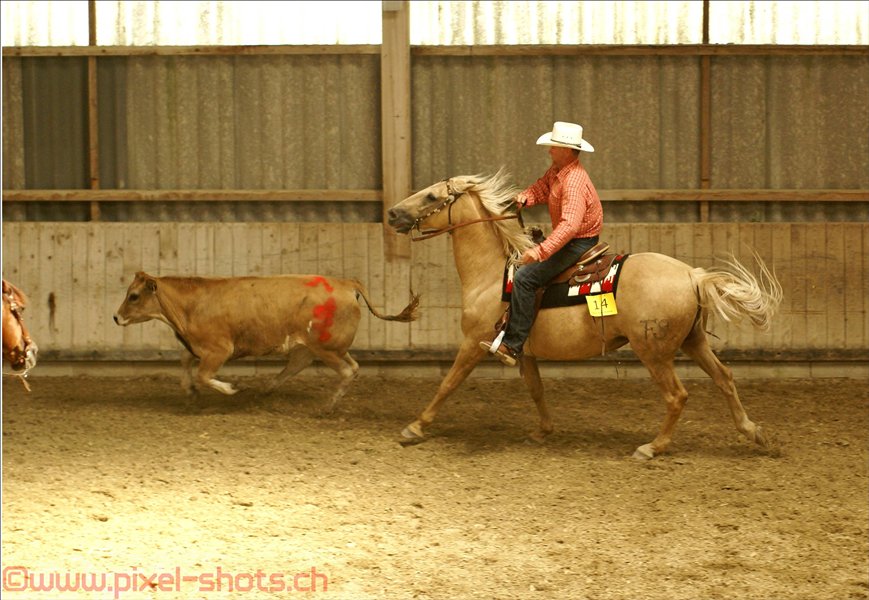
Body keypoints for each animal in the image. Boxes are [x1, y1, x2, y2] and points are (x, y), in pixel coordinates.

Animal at [113, 272, 419, 409]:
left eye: (134, 296)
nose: (116, 317)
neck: (191, 305)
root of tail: (346, 284)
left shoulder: (219, 350)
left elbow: (203, 374)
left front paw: (230, 389)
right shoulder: (197, 347)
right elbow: (185, 359)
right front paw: (189, 391)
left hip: (326, 348)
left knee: (346, 371)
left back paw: (327, 407)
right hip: (317, 347)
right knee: (311, 367)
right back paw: (266, 390)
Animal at [387, 169, 783, 459]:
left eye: (431, 197)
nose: (392, 213)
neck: (493, 275)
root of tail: (692, 275)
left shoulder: (473, 342)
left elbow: (448, 383)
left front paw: (414, 427)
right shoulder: (522, 349)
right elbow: (536, 389)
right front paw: (542, 431)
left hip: (653, 351)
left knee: (677, 396)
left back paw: (652, 447)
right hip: (693, 340)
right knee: (724, 378)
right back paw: (755, 434)